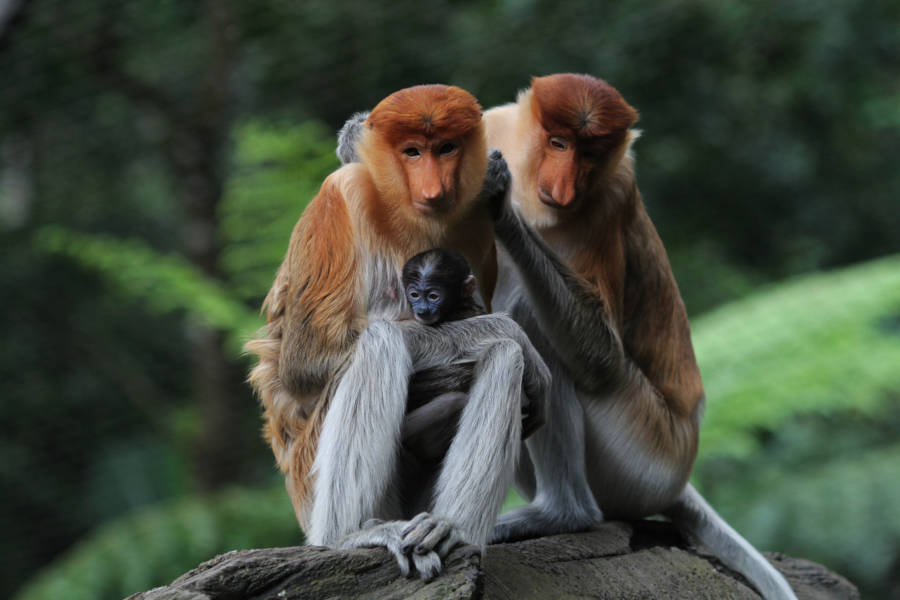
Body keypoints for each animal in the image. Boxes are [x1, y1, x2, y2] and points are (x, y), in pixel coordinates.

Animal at [246, 85, 550, 581]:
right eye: (412, 152)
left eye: (445, 148)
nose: (433, 188)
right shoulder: (341, 195)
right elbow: (307, 361)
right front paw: (512, 332)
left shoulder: (477, 223)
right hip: (309, 479)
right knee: (381, 343)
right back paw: (348, 535)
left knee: (503, 360)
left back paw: (448, 530)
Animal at [478, 73, 798, 600]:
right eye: (559, 143)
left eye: (590, 154)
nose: (564, 188)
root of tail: (678, 477)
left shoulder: (613, 194)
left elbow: (602, 358)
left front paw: (498, 205)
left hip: (644, 452)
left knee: (532, 325)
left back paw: (562, 514)